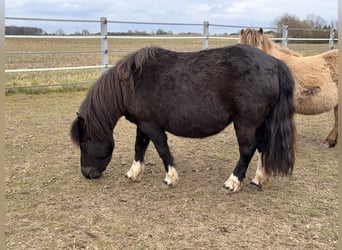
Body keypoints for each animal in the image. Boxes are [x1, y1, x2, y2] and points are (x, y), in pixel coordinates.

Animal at [70, 44, 296, 192]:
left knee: (247, 150)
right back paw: (258, 179)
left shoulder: (151, 125)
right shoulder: (143, 124)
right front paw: (133, 173)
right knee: (262, 148)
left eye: (84, 142)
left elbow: (161, 149)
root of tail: (274, 63)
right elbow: (139, 147)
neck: (132, 84)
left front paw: (170, 178)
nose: (87, 173)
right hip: (260, 123)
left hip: (246, 123)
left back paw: (233, 182)